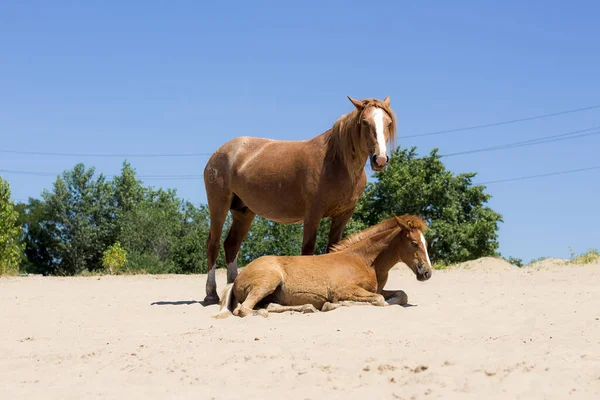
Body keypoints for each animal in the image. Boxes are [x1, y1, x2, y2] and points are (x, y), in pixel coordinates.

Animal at [204, 96, 396, 304]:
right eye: (365, 122)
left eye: (388, 123)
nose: (380, 159)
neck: (337, 163)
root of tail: (220, 152)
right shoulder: (313, 214)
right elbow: (308, 249)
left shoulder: (343, 215)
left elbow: (333, 248)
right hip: (219, 206)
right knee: (213, 244)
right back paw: (211, 293)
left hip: (243, 212)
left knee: (231, 245)